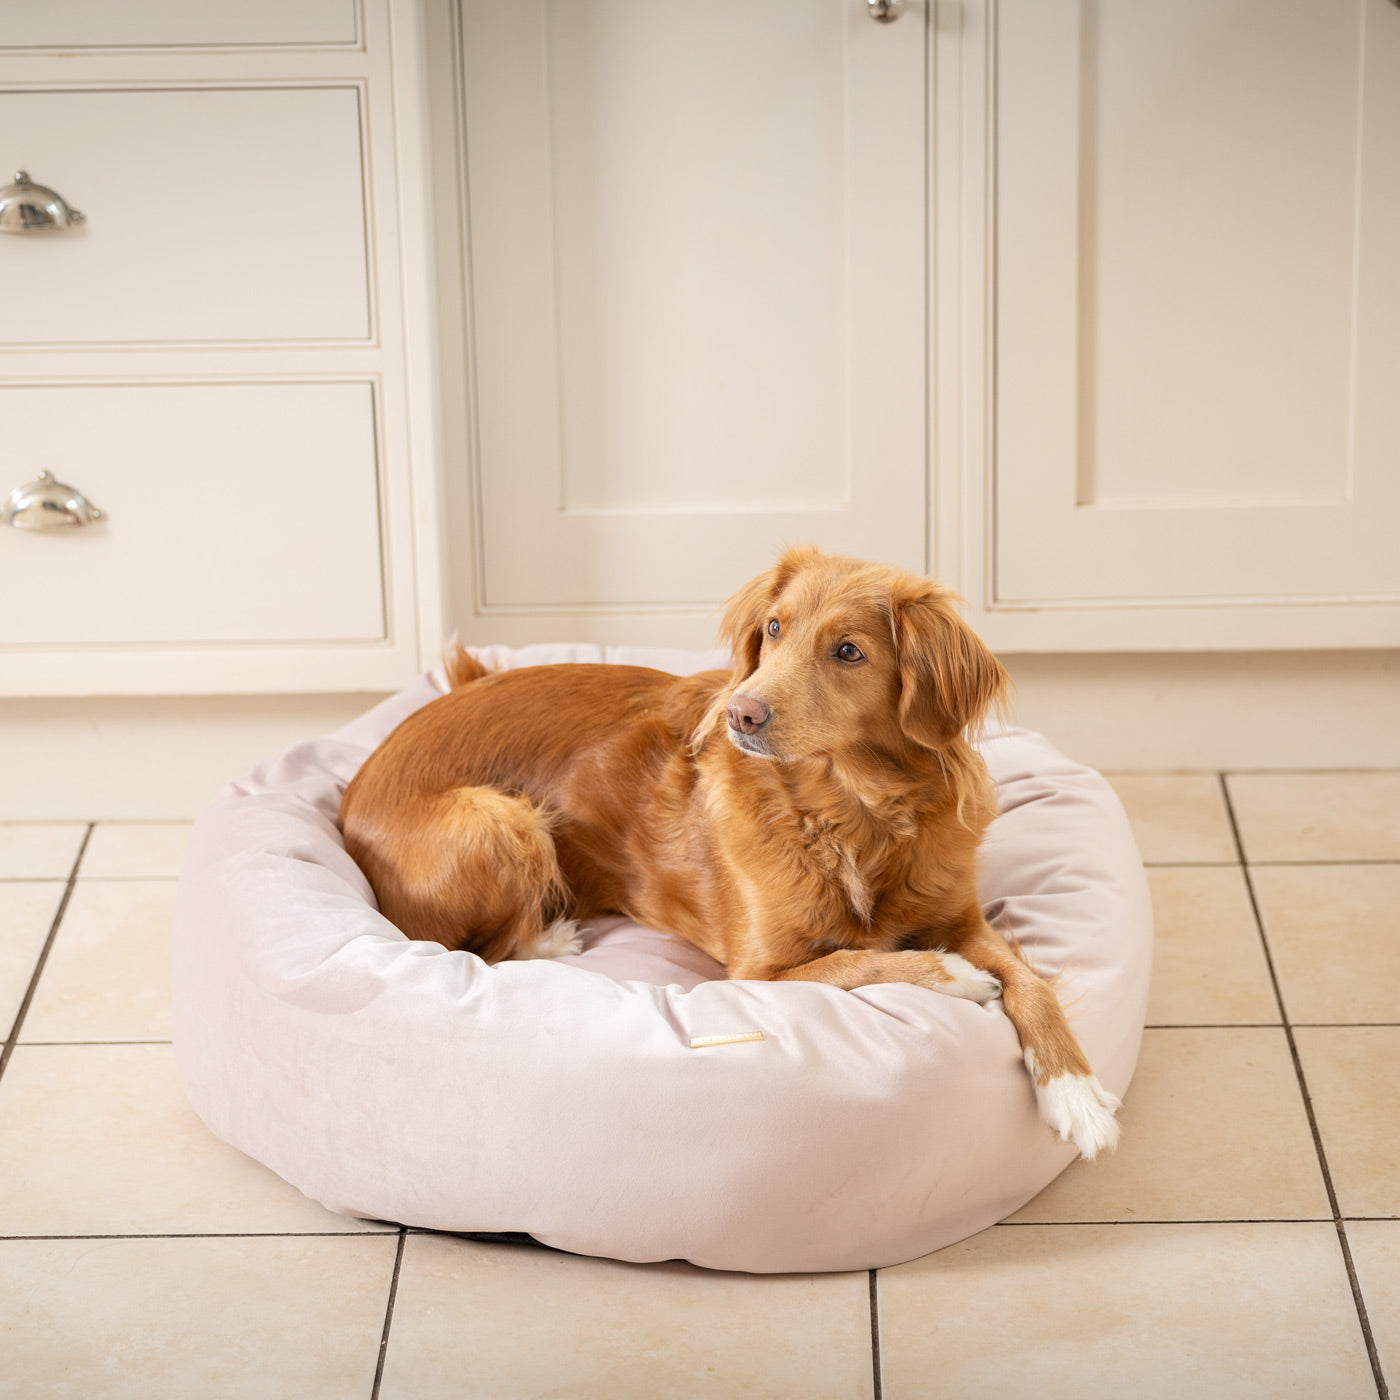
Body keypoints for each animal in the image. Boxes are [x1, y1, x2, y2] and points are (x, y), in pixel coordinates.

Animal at [344, 546, 1120, 1159]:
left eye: (849, 651)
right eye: (774, 629)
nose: (742, 712)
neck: (852, 814)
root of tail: (350, 796)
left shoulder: (964, 918)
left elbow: (1031, 983)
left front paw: (1076, 1092)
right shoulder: (760, 974)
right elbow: (855, 961)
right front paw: (951, 975)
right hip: (503, 820)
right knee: (486, 949)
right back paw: (556, 937)